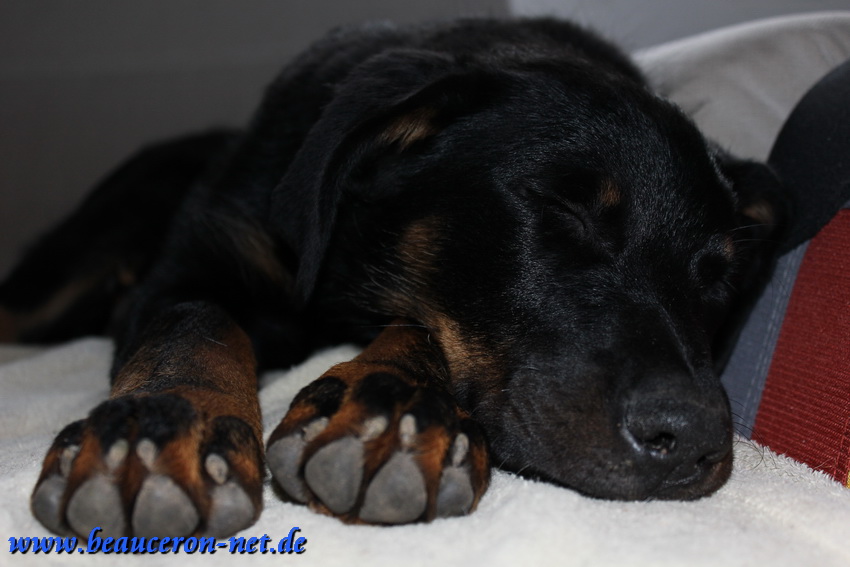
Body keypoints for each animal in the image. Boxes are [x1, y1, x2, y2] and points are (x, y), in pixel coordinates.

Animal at [0, 18, 787, 538]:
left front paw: (393, 409)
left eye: (720, 272)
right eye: (562, 207)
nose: (691, 440)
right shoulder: (197, 259)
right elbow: (194, 323)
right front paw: (163, 428)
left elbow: (419, 324)